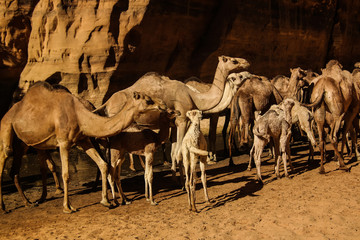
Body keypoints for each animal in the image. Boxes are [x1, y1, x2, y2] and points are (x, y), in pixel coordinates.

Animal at [0, 81, 166, 213]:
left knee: (16, 170)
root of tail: (10, 111)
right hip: (6, 127)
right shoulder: (63, 143)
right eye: (148, 100)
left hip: (25, 143)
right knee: (5, 153)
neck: (80, 115)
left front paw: (106, 201)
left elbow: (103, 164)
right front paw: (67, 207)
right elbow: (66, 174)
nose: (163, 105)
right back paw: (5, 207)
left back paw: (29, 202)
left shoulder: (83, 140)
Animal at [94, 55, 249, 177]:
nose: (246, 62)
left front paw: (177, 177)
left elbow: (175, 151)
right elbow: (181, 151)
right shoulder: (182, 120)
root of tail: (107, 103)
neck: (194, 96)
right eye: (234, 61)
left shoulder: (174, 123)